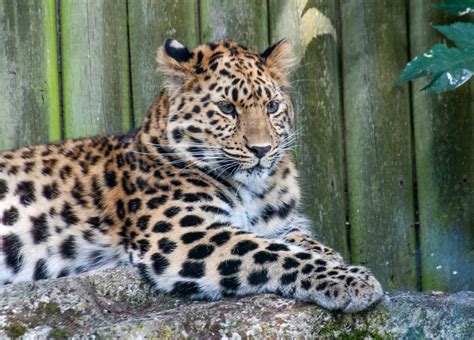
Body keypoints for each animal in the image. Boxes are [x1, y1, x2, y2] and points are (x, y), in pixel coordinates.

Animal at [0, 38, 384, 312]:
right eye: (227, 108)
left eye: (272, 106)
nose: (262, 149)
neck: (255, 189)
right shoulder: (185, 233)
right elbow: (275, 252)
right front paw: (351, 280)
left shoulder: (280, 222)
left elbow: (298, 239)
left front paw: (331, 255)